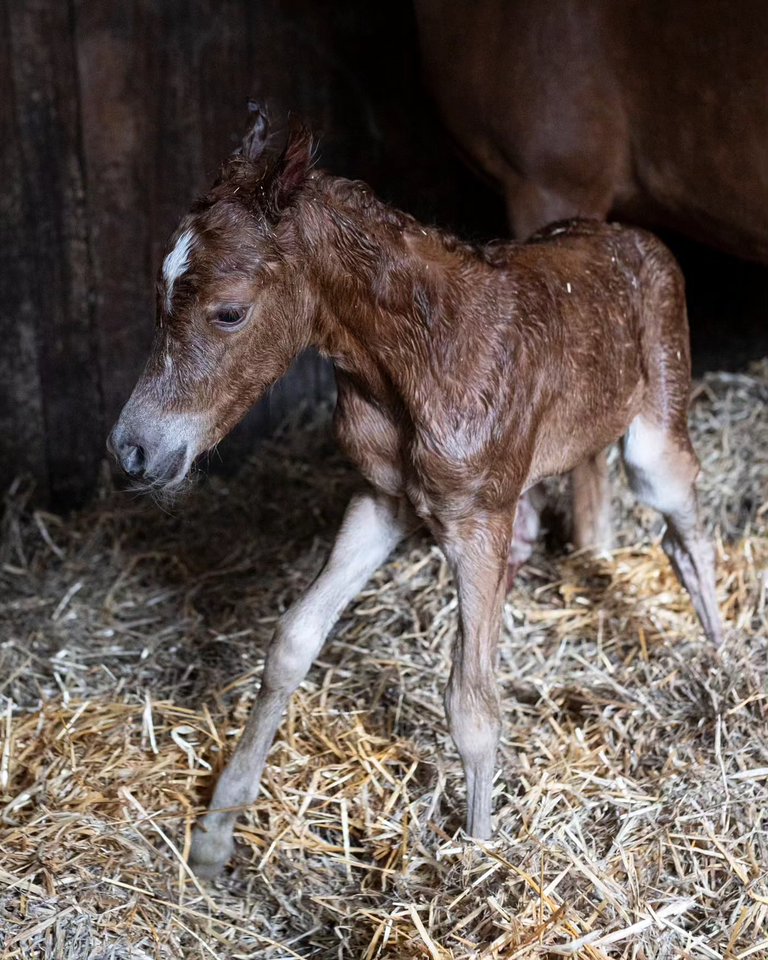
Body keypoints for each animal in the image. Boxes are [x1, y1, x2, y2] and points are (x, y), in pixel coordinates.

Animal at [108, 107, 720, 876]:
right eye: (158, 301)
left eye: (229, 313)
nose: (132, 450)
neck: (411, 359)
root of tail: (638, 237)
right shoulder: (380, 502)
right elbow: (291, 644)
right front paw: (216, 838)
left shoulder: (476, 521)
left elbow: (472, 708)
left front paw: (481, 859)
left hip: (655, 432)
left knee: (687, 530)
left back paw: (725, 667)